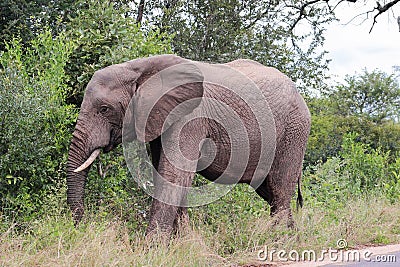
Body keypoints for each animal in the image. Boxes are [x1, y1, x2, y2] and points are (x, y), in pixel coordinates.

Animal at [66, 55, 310, 237]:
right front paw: (181, 242)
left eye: (104, 109)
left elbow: (175, 174)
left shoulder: (191, 118)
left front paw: (151, 250)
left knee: (279, 188)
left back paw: (279, 240)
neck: (139, 68)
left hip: (294, 131)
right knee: (271, 193)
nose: (80, 227)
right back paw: (292, 237)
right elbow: (168, 176)